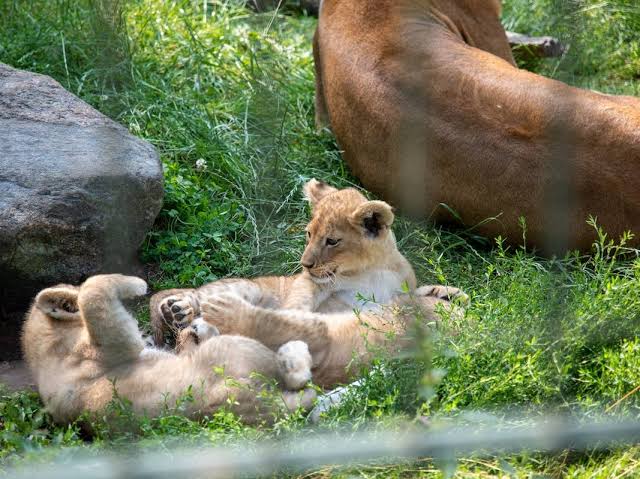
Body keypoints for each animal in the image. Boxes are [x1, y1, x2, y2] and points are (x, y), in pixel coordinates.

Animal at [22, 274, 317, 426]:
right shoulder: (110, 344)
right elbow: (92, 292)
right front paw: (138, 284)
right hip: (235, 348)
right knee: (298, 380)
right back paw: (293, 352)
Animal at [151, 179, 466, 388]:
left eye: (332, 241)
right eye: (308, 233)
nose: (305, 263)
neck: (369, 269)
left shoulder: (398, 294)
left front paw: (445, 293)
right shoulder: (312, 286)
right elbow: (299, 302)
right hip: (248, 288)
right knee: (201, 297)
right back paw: (178, 309)